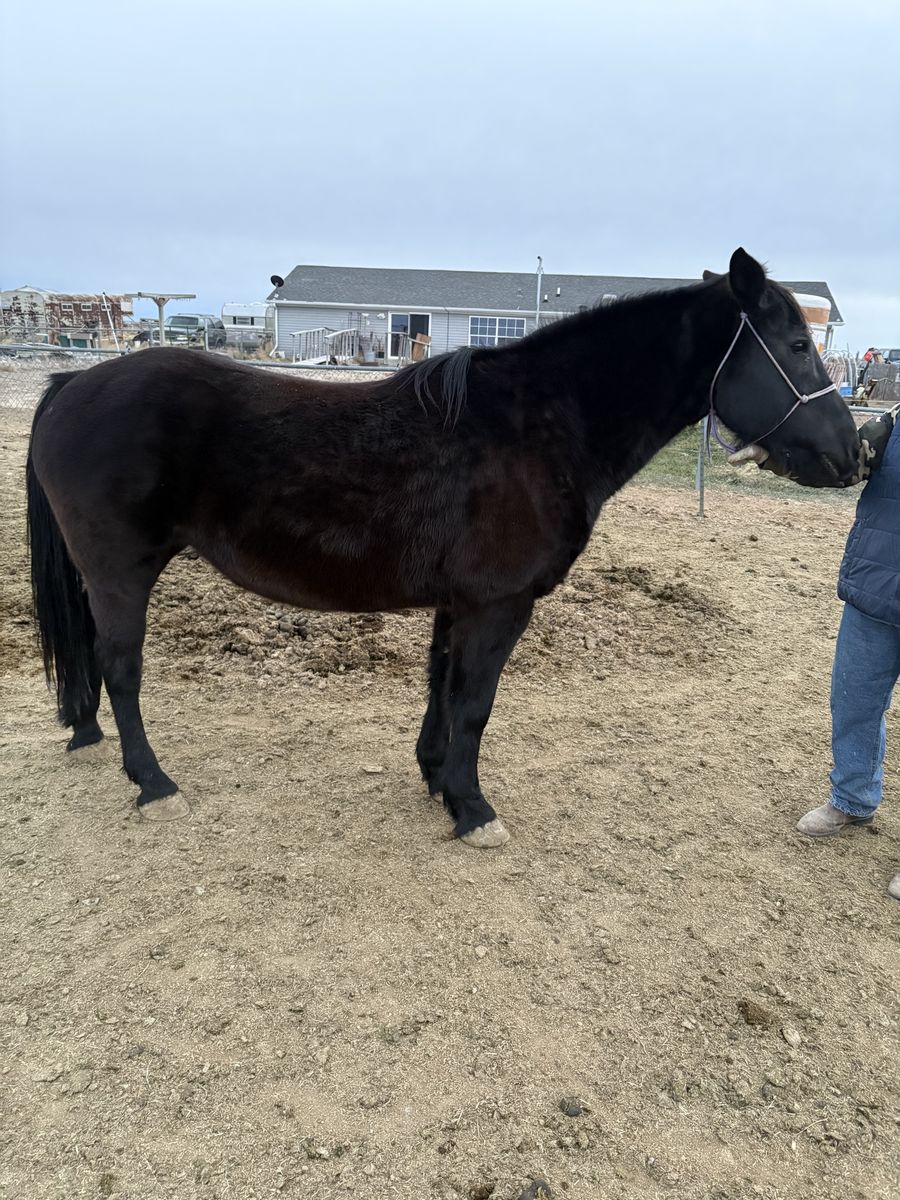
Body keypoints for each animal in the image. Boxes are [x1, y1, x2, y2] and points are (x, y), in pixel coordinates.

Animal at [26, 248, 861, 847]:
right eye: (796, 344)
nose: (851, 455)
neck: (535, 426)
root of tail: (71, 385)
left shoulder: (458, 602)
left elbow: (441, 689)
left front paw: (435, 780)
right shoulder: (499, 604)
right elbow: (475, 703)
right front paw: (472, 808)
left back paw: (90, 734)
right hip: (121, 570)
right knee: (122, 668)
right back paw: (153, 781)